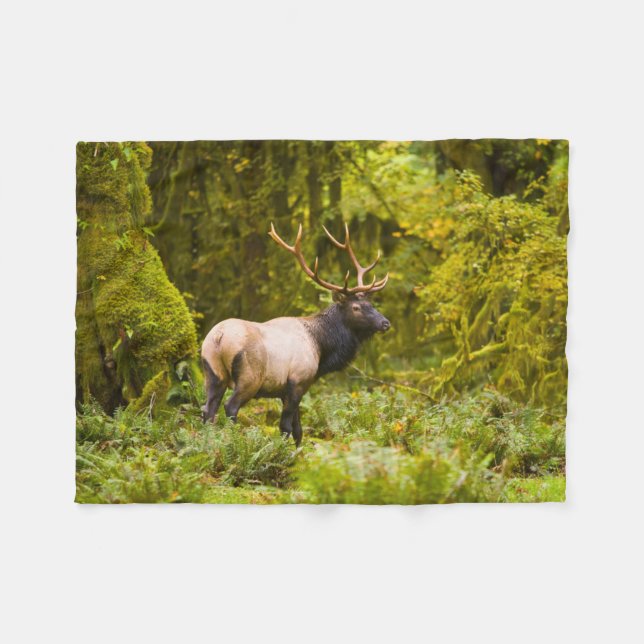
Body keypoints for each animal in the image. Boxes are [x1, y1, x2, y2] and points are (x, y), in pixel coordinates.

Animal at [201, 223, 390, 446]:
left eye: (371, 303)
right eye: (356, 307)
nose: (385, 323)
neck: (321, 348)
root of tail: (219, 337)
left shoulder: (289, 389)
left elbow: (298, 429)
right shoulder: (298, 381)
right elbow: (286, 427)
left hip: (212, 371)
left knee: (207, 411)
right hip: (249, 376)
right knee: (230, 407)